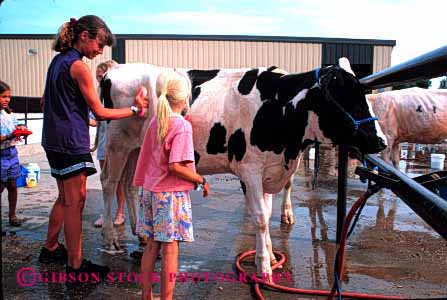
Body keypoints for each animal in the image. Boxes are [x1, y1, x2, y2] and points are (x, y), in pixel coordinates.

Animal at [100, 59, 386, 278]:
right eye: (347, 98)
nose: (381, 141)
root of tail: (115, 70)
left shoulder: (270, 168)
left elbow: (267, 214)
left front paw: (271, 256)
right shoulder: (250, 170)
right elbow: (259, 217)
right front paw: (263, 267)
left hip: (137, 148)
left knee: (129, 185)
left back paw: (141, 236)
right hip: (116, 143)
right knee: (109, 183)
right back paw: (110, 238)